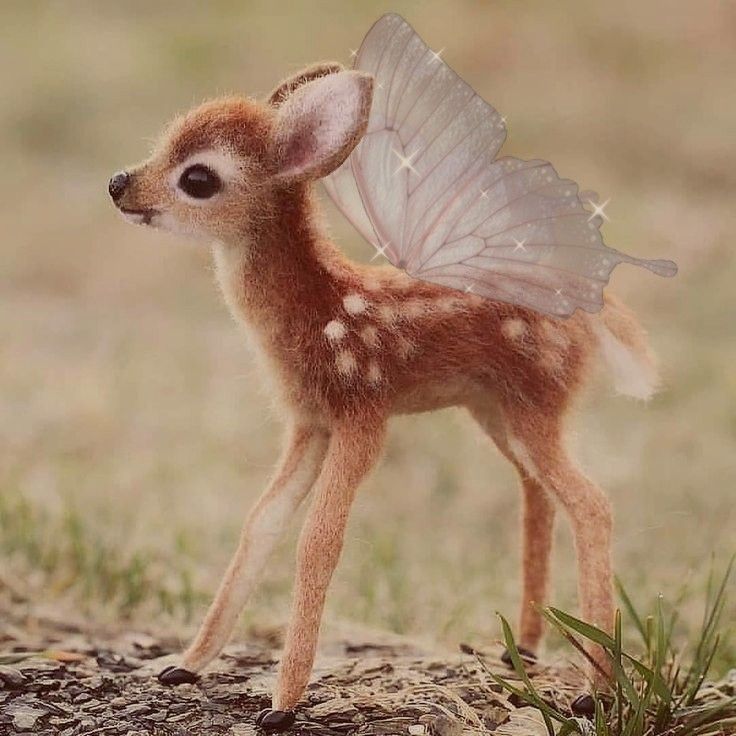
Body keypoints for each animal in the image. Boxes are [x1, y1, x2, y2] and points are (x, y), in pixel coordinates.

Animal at [110, 60, 668, 728]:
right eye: (167, 138)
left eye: (198, 177)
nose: (117, 184)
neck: (320, 312)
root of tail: (590, 310)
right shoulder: (309, 422)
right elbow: (261, 523)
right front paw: (185, 664)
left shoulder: (363, 411)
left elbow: (318, 541)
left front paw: (282, 705)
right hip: (497, 408)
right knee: (538, 492)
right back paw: (526, 649)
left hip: (534, 401)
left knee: (592, 504)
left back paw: (595, 689)